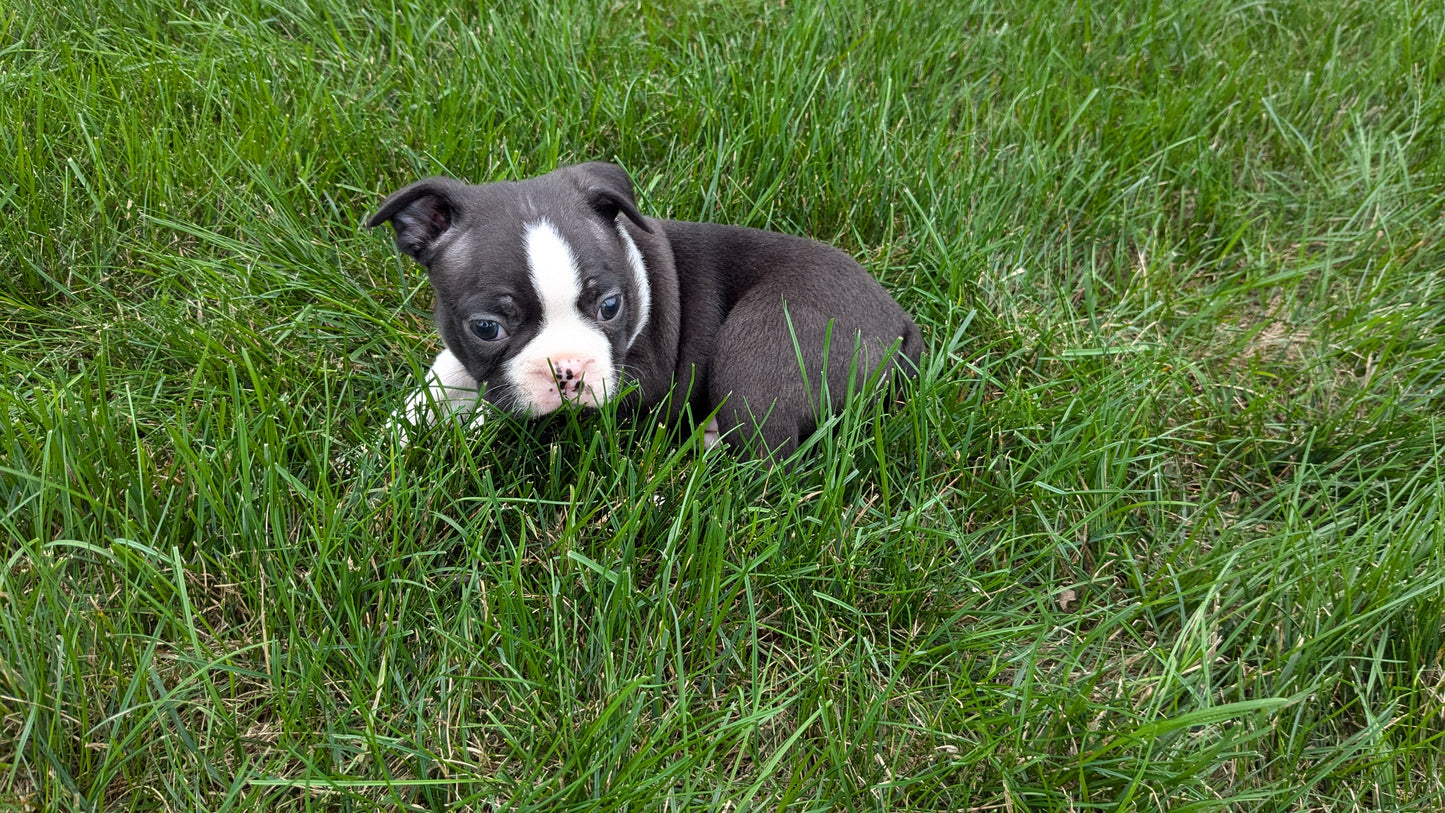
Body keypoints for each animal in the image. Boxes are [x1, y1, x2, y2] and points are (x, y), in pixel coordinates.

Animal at [367, 165, 919, 459]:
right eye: (486, 328)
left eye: (611, 306)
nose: (567, 370)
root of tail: (900, 323)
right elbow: (440, 381)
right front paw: (387, 444)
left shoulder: (642, 376)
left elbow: (498, 408)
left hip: (765, 339)